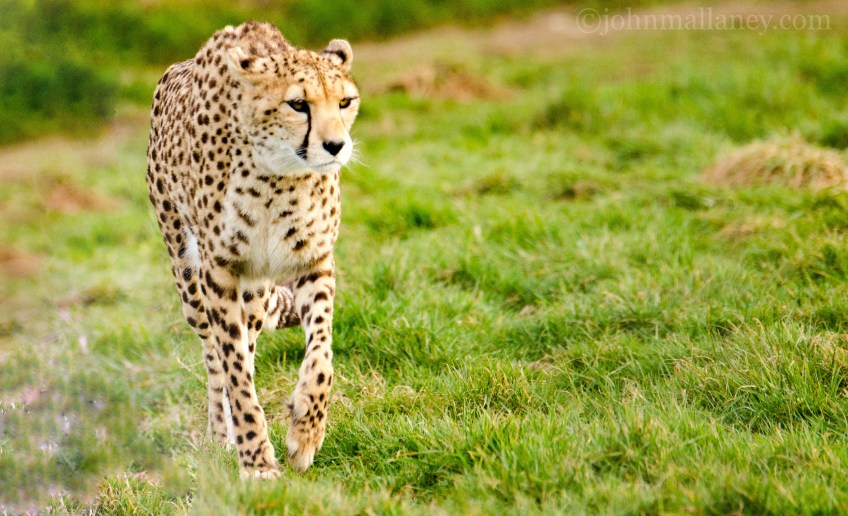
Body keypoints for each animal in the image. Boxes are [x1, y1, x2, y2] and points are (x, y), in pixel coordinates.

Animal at [146, 20, 360, 478]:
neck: (279, 175)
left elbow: (321, 355)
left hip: (257, 289)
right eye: (298, 104)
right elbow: (234, 372)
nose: (336, 146)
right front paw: (257, 461)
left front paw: (305, 432)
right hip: (188, 277)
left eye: (345, 101)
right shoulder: (219, 272)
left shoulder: (314, 260)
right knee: (215, 353)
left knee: (250, 341)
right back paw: (220, 433)